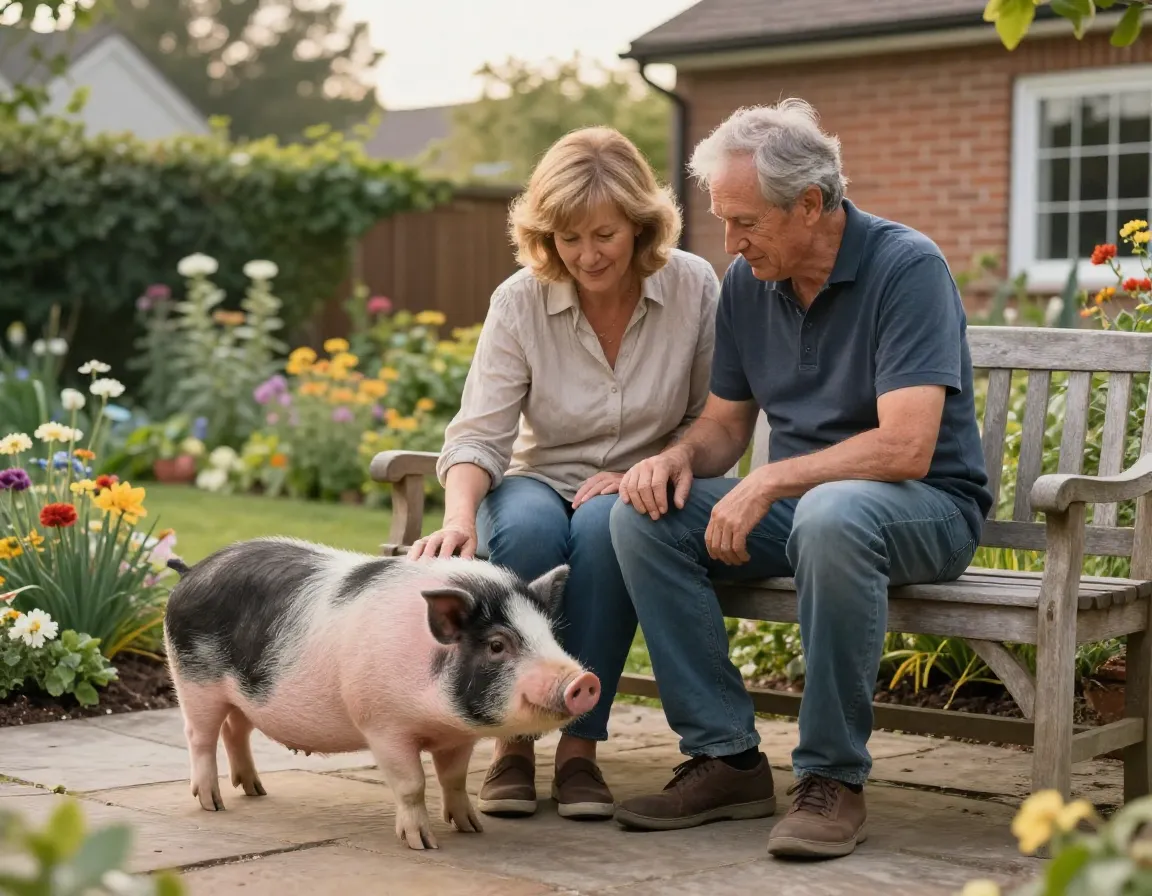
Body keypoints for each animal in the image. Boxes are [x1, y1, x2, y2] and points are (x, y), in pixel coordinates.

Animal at [161, 535, 601, 850]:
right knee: (200, 737)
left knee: (235, 731)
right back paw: (213, 803)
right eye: (497, 645)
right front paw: (423, 845)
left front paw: (472, 827)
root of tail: (190, 572)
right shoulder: (383, 725)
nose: (584, 681)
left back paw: (255, 790)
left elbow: (454, 779)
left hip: (242, 695)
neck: (437, 716)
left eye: (550, 635)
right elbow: (412, 784)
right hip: (193, 680)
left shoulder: (458, 737)